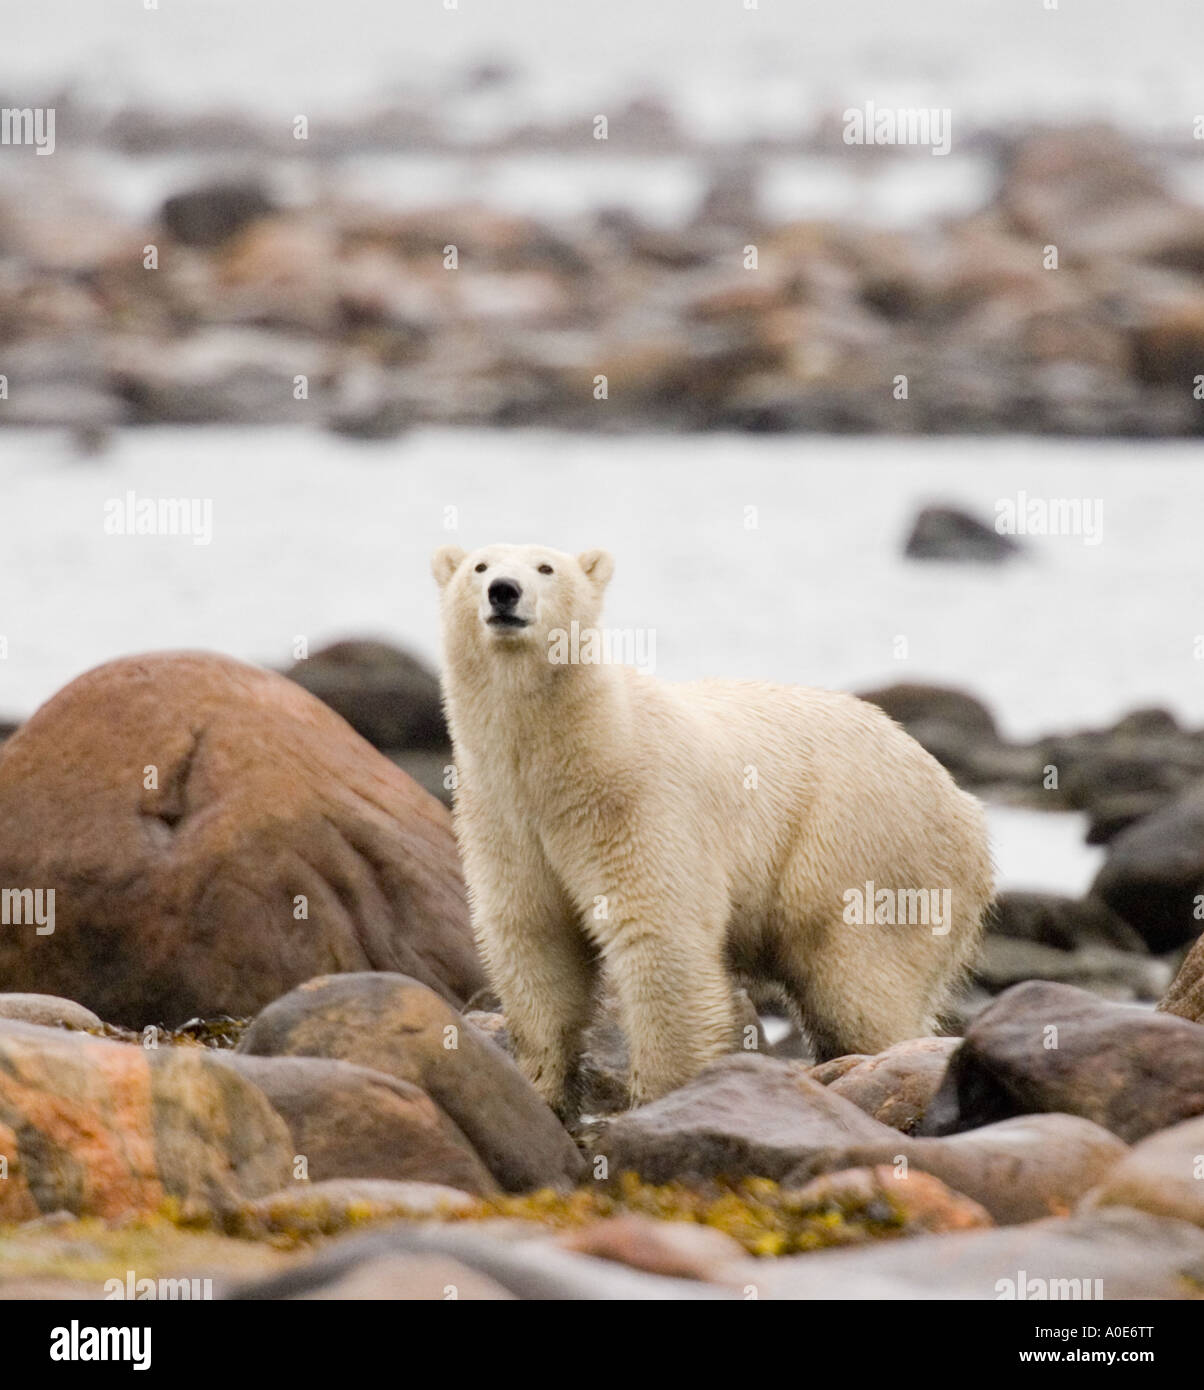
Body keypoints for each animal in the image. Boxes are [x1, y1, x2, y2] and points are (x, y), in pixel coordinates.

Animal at [428, 542, 989, 1117]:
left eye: (546, 568)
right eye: (479, 567)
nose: (504, 592)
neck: (566, 757)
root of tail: (965, 806)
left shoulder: (637, 806)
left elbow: (660, 938)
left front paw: (663, 1096)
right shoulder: (505, 818)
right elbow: (535, 939)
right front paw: (544, 1090)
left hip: (864, 847)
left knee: (861, 986)